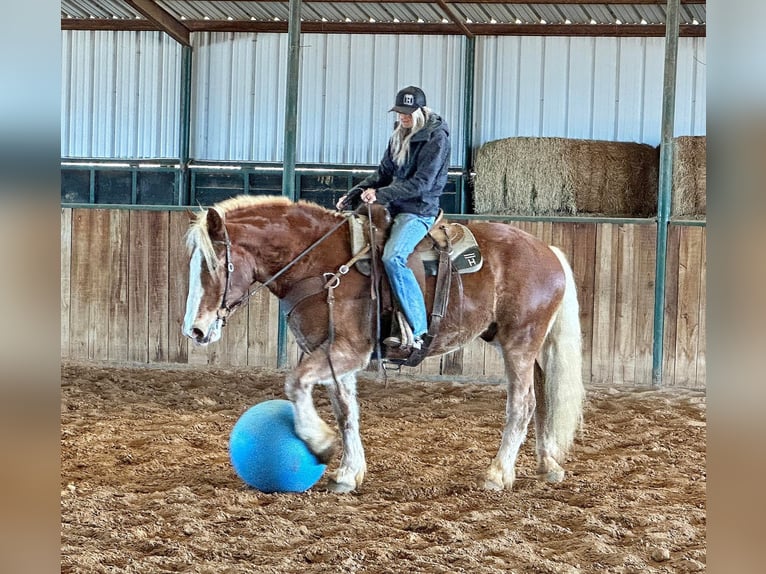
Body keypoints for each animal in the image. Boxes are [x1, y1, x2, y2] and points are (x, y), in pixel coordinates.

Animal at [183, 197, 584, 496]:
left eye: (216, 263)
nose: (196, 330)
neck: (320, 263)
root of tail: (548, 250)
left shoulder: (346, 350)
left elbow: (295, 383)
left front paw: (320, 443)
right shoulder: (333, 356)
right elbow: (346, 411)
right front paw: (348, 473)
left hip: (519, 343)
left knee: (522, 404)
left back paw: (498, 474)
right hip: (527, 346)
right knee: (543, 398)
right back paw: (547, 464)